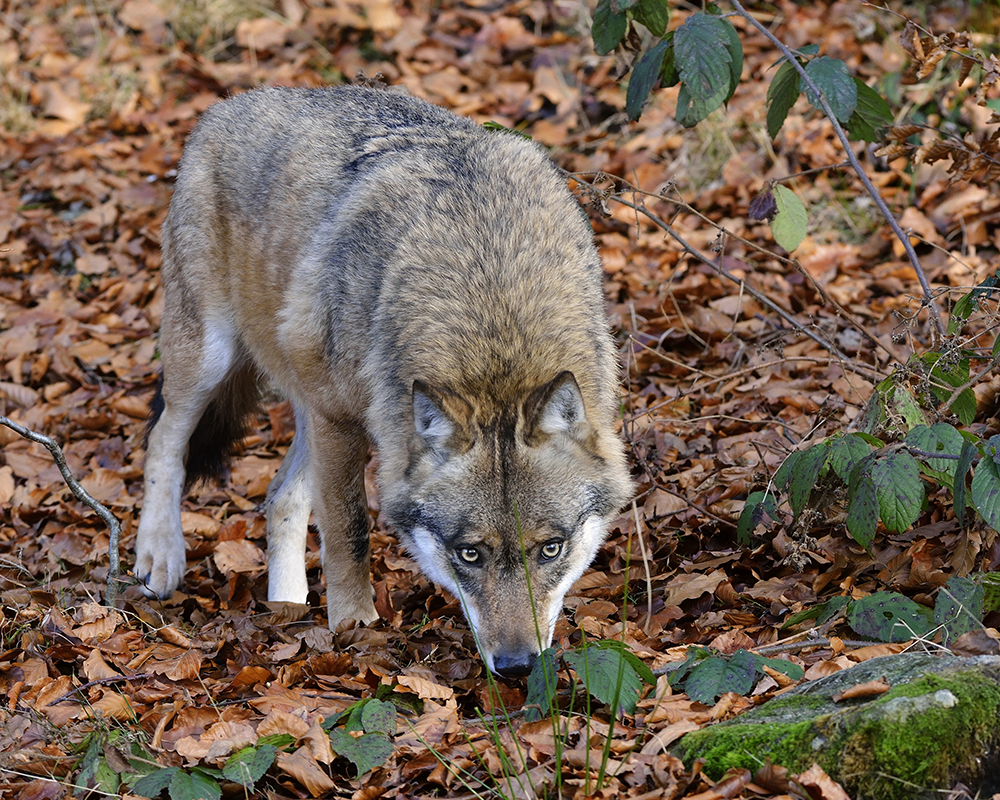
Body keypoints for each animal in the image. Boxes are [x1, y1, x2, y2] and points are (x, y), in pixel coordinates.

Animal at [135, 86, 632, 676]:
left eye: (550, 549)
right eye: (470, 553)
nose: (516, 666)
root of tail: (227, 103)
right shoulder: (338, 420)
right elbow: (349, 533)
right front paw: (354, 629)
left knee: (278, 497)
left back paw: (286, 610)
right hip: (212, 360)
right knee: (164, 440)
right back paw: (159, 556)